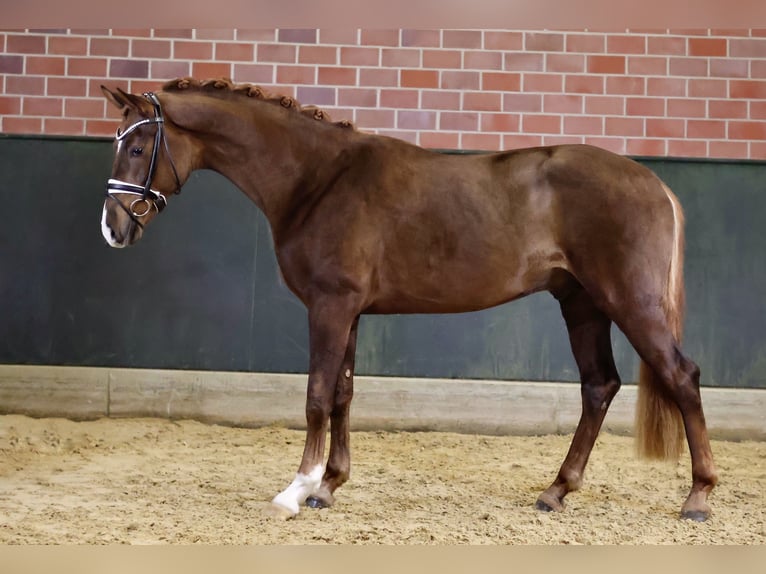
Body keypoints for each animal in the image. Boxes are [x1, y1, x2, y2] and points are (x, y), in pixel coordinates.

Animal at [99, 79, 716, 524]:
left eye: (138, 146)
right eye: (117, 143)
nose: (113, 229)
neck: (317, 180)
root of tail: (653, 184)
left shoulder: (329, 307)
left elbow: (317, 396)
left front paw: (295, 491)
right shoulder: (348, 313)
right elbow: (343, 394)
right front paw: (329, 486)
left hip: (629, 303)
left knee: (681, 377)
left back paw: (698, 498)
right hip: (582, 304)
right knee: (599, 386)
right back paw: (555, 491)